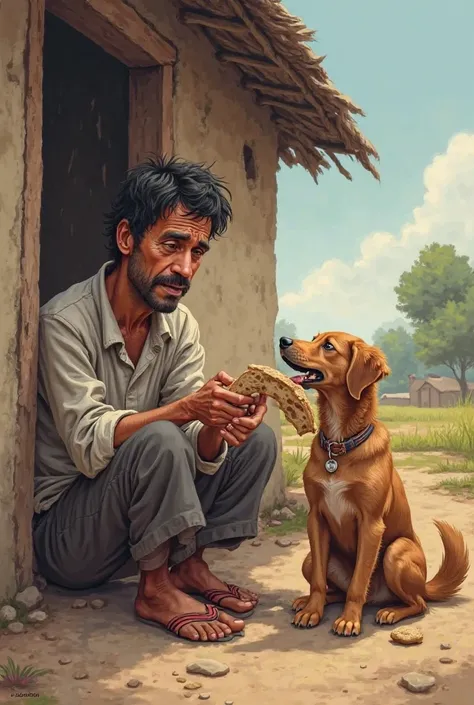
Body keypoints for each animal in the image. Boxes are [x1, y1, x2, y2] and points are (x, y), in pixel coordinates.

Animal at [280, 332, 468, 636]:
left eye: (328, 346)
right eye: (314, 337)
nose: (283, 340)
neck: (340, 446)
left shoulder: (371, 524)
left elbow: (359, 582)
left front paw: (348, 620)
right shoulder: (316, 518)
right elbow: (319, 580)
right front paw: (312, 611)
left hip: (396, 552)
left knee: (418, 603)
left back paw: (391, 611)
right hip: (309, 559)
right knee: (334, 589)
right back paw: (305, 601)